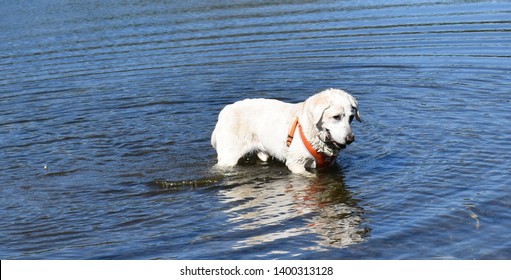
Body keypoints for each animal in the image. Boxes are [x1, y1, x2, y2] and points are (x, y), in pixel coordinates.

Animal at [210, 88, 362, 174]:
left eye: (351, 117)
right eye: (336, 117)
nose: (350, 139)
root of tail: (224, 112)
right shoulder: (296, 164)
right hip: (228, 157)